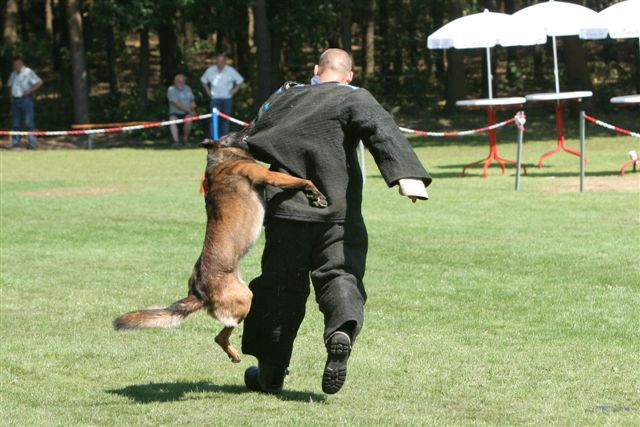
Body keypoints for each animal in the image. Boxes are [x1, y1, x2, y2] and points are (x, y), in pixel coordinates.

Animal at [112, 134, 328, 364]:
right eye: (238, 134)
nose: (249, 129)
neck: (222, 158)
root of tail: (198, 293)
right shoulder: (267, 175)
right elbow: (304, 180)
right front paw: (315, 194)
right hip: (245, 298)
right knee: (221, 335)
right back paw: (233, 352)